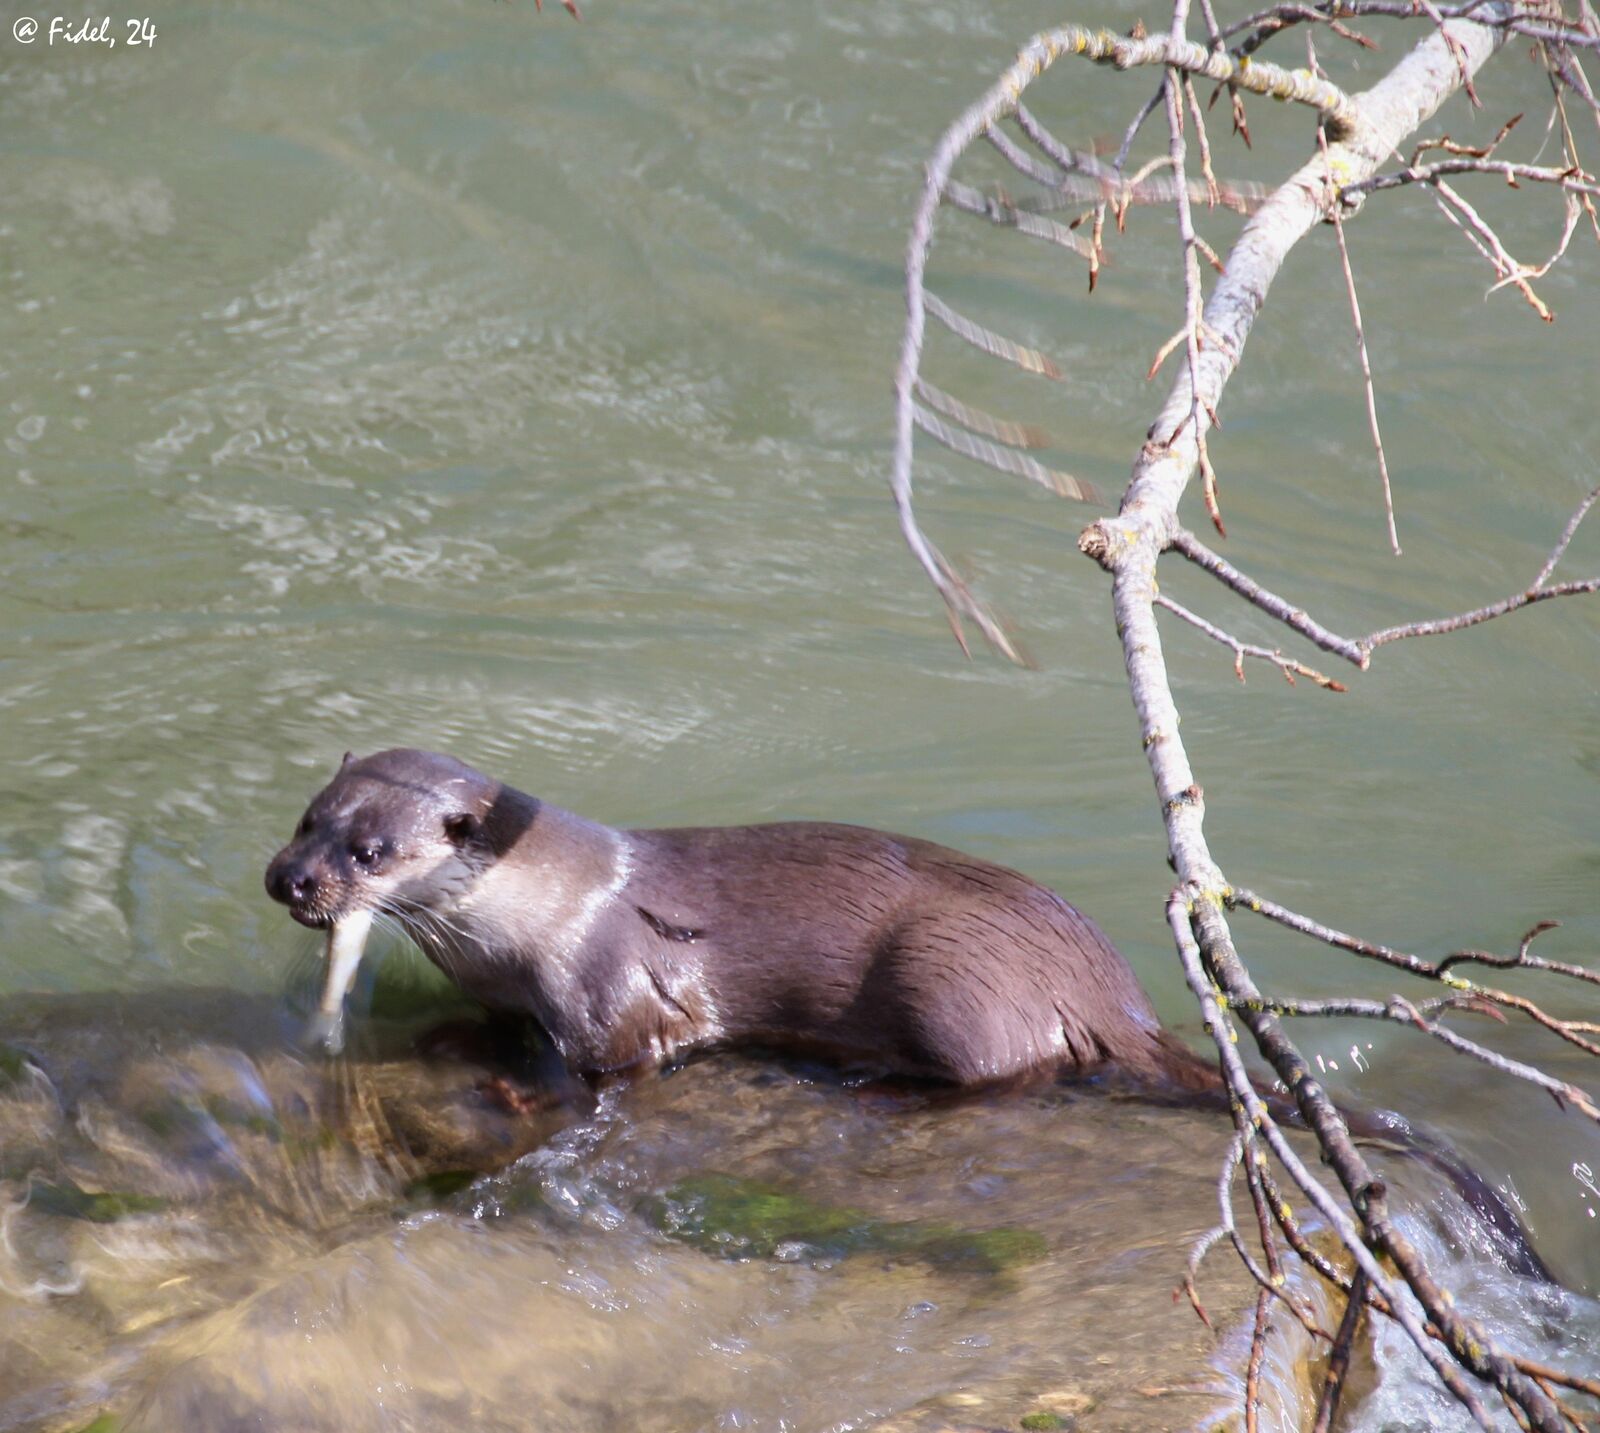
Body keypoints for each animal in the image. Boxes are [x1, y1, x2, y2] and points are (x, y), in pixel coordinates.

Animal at [268, 745, 1555, 1279]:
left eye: (373, 849)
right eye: (306, 814)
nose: (291, 880)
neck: (542, 918)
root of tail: (1106, 989)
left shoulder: (616, 1000)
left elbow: (611, 1076)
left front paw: (506, 1083)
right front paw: (445, 1037)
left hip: (950, 975)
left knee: (994, 1078)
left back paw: (871, 1085)